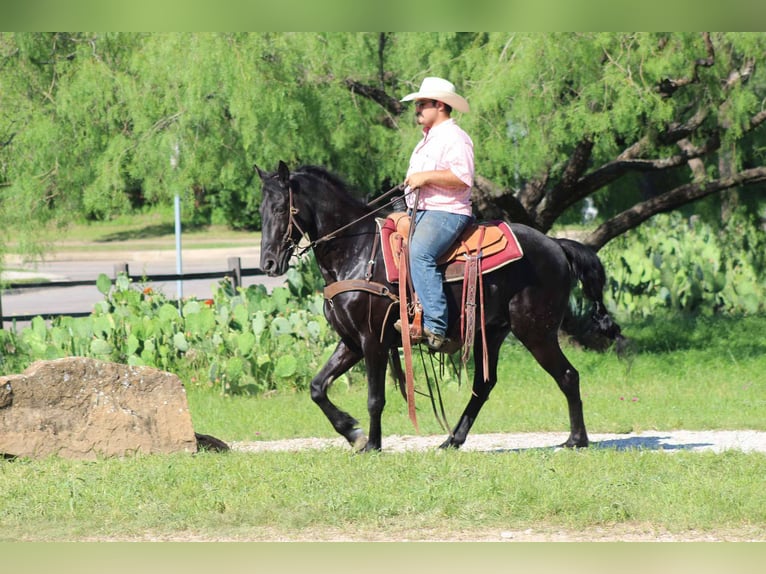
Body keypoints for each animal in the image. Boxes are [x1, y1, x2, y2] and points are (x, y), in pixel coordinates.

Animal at [256, 161, 623, 452]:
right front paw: (352, 433)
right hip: (492, 332)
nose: (268, 263)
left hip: (536, 331)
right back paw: (452, 440)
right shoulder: (351, 342)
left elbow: (375, 398)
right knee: (484, 386)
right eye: (261, 211)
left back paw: (576, 440)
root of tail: (557, 245)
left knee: (567, 376)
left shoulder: (373, 340)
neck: (357, 252)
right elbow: (317, 387)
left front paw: (371, 444)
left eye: (281, 209)